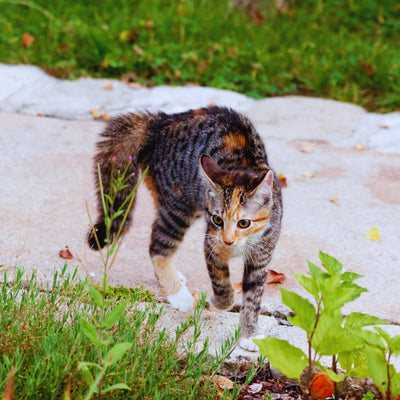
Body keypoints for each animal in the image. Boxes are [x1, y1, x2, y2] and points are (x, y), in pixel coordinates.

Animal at [87, 105, 282, 350]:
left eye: (244, 223)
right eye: (217, 220)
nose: (228, 240)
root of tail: (161, 121)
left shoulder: (262, 256)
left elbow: (253, 299)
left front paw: (249, 334)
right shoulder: (212, 245)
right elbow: (223, 287)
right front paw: (217, 302)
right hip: (178, 206)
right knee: (158, 247)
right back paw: (179, 295)